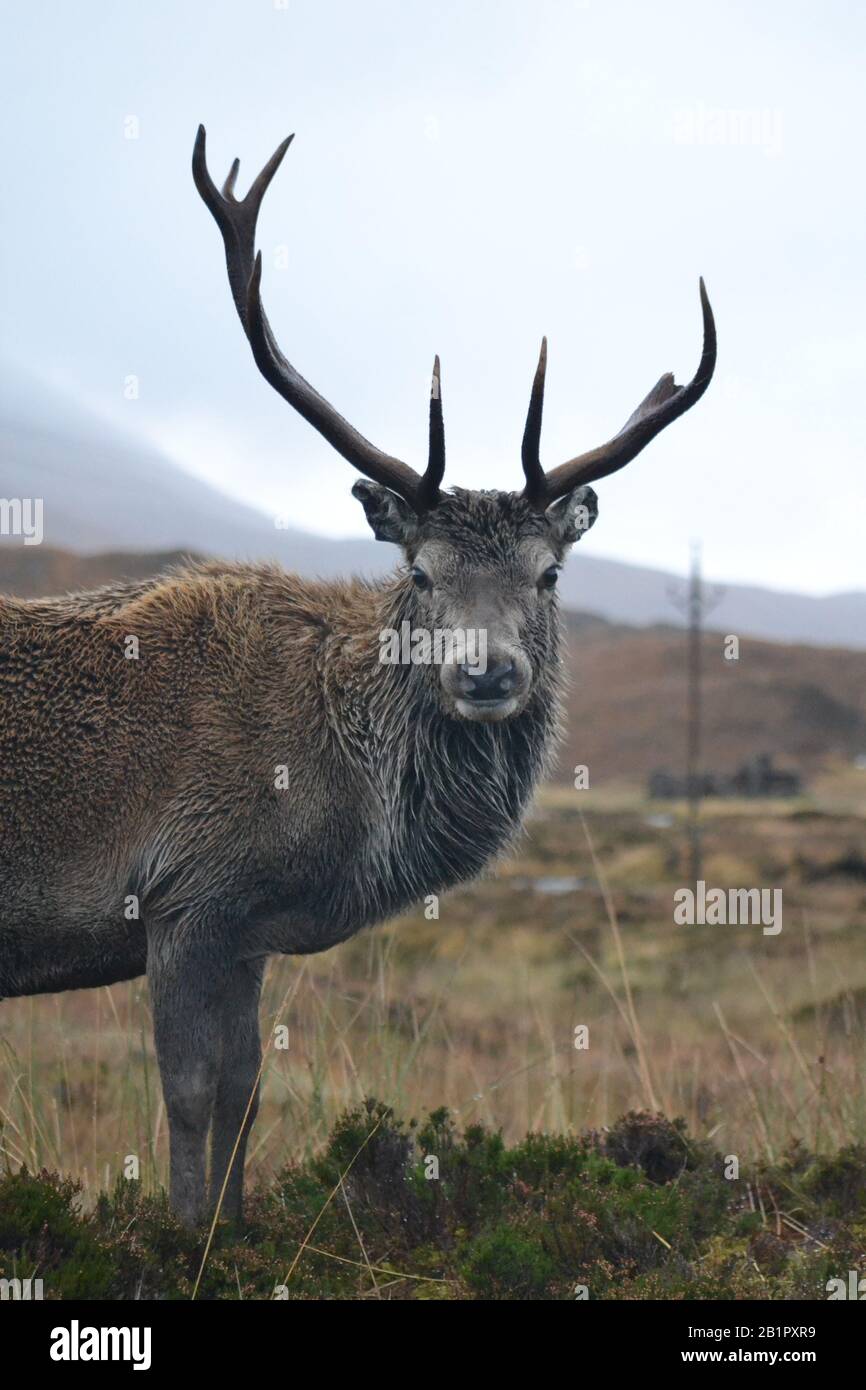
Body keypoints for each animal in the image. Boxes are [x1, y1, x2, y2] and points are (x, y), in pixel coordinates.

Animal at [0, 126, 716, 1227]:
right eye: (418, 570)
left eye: (548, 573)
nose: (485, 672)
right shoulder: (185, 892)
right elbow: (189, 1090)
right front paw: (181, 1237)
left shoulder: (245, 925)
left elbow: (248, 1091)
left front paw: (234, 1229)